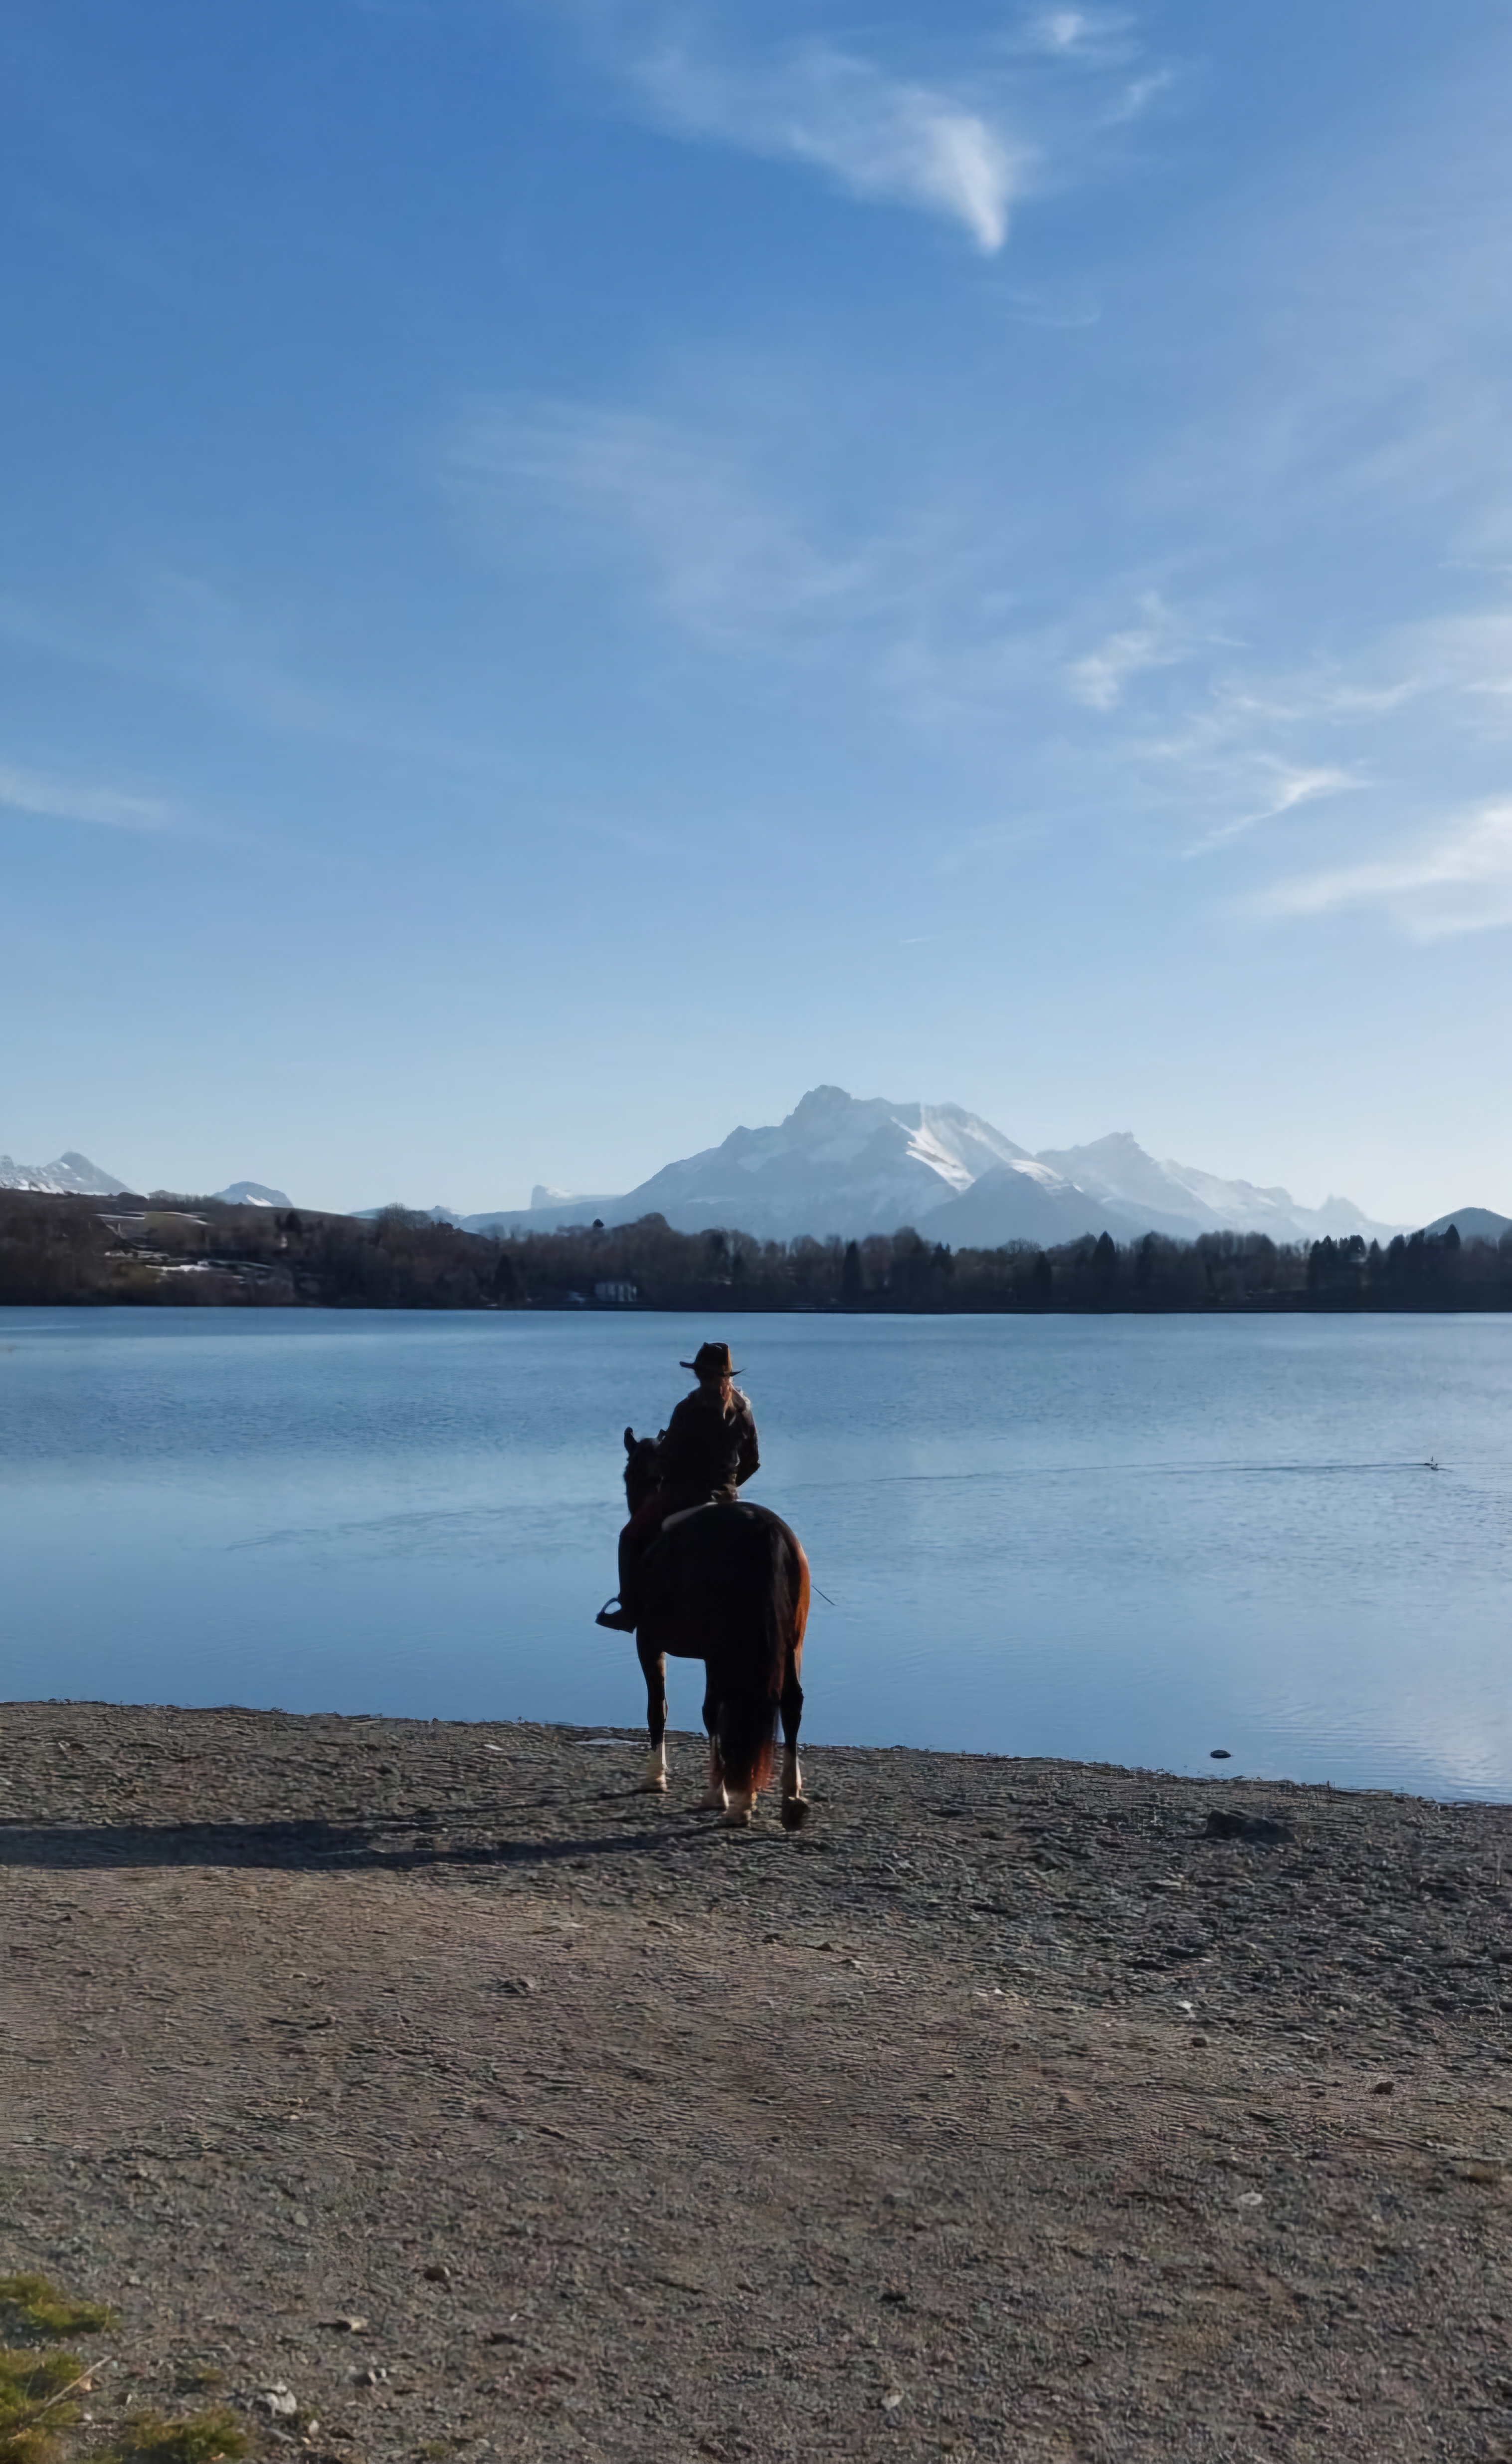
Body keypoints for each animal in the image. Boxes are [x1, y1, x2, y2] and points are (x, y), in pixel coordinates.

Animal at [618, 1428, 810, 1829]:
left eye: (632, 1475)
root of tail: (764, 1531)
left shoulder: (651, 1642)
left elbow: (663, 1707)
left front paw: (659, 1778)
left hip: (729, 1648)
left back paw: (742, 1799)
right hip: (790, 1644)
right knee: (790, 1703)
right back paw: (790, 1797)